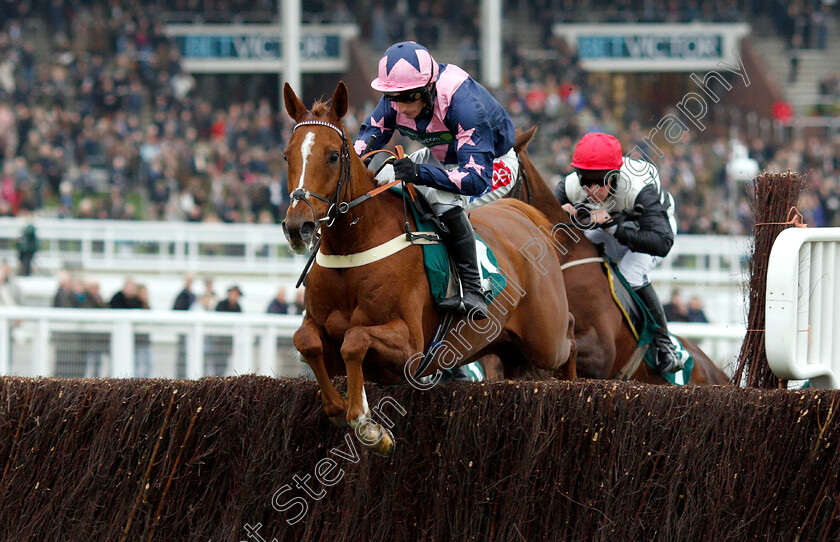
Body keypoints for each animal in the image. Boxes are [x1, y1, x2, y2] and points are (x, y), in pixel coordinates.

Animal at [282, 83, 576, 456]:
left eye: (333, 155)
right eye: (286, 156)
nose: (298, 227)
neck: (353, 247)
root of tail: (522, 213)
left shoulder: (411, 347)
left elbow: (355, 339)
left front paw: (369, 426)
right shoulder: (320, 331)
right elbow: (306, 341)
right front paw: (342, 409)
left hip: (546, 337)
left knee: (570, 337)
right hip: (512, 350)